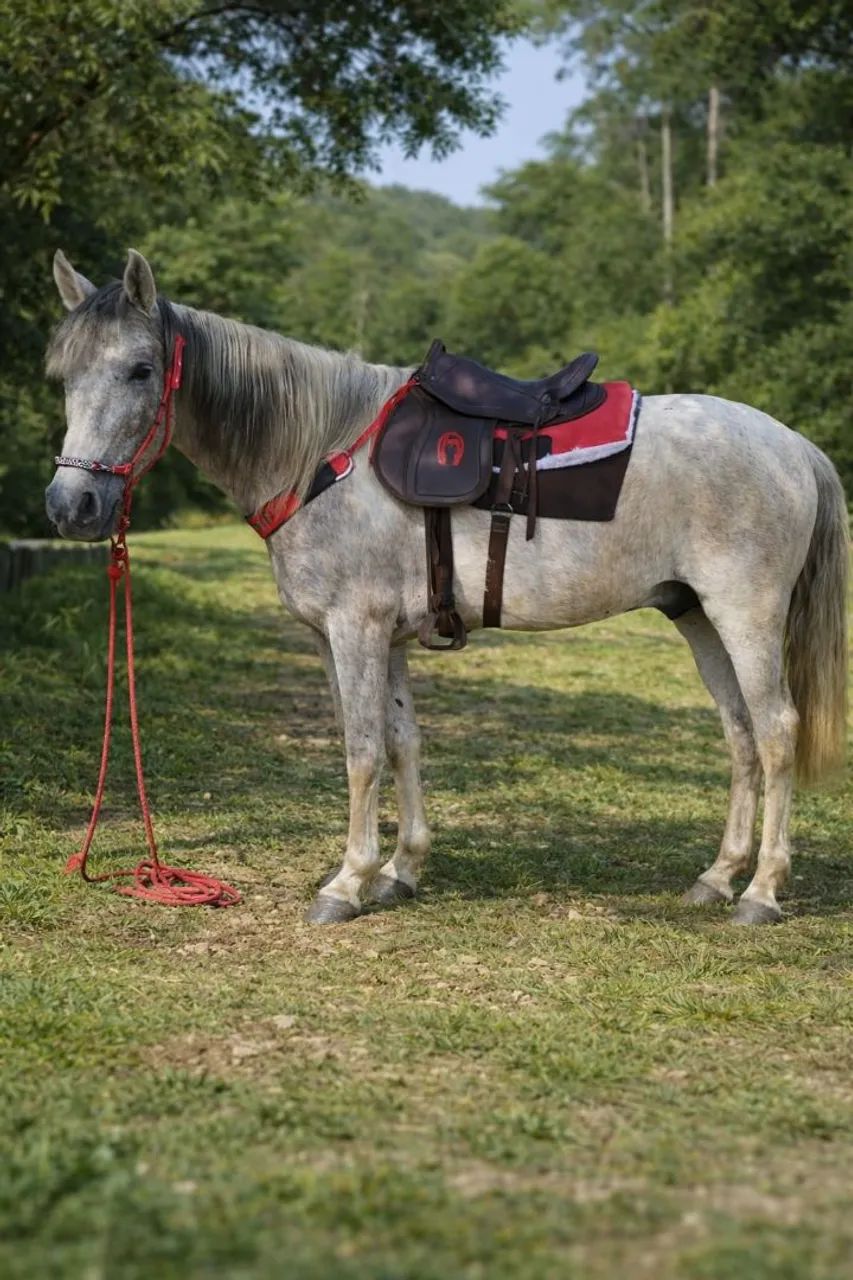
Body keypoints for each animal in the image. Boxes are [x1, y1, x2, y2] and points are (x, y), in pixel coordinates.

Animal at [44, 249, 848, 926]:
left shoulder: (353, 630)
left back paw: (762, 893)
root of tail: (793, 444)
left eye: (140, 370)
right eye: (63, 377)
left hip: (744, 614)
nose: (70, 506)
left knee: (776, 731)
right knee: (740, 734)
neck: (321, 454)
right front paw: (401, 871)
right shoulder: (385, 636)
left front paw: (347, 882)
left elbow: (362, 749)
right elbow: (403, 742)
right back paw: (717, 878)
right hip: (697, 617)